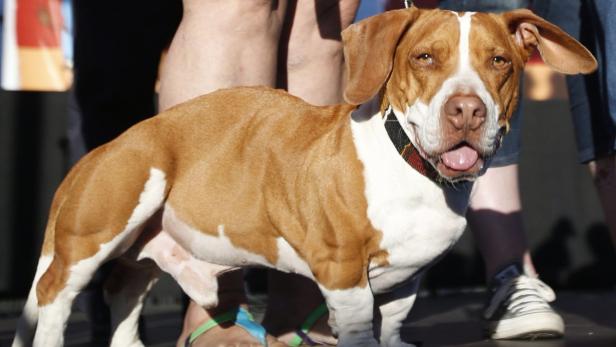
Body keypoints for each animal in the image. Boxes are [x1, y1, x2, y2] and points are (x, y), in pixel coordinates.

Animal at [10, 5, 596, 347]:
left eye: (500, 62)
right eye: (425, 57)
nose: (467, 111)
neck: (411, 165)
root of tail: (104, 148)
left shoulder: (405, 282)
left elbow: (392, 327)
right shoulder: (345, 278)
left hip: (143, 245)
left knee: (126, 292)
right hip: (109, 215)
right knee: (57, 296)